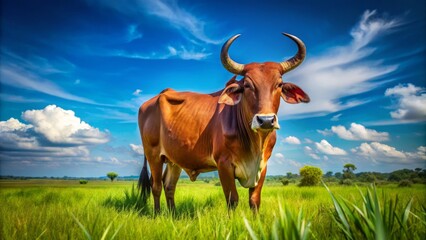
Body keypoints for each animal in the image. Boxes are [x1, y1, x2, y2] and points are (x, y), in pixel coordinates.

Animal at [139, 32, 310, 211]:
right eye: (247, 85)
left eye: (279, 84)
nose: (266, 120)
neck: (255, 142)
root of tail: (157, 97)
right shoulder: (224, 164)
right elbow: (232, 200)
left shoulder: (262, 166)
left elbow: (254, 201)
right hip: (153, 155)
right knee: (156, 186)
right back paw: (157, 213)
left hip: (174, 159)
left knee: (169, 186)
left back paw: (172, 214)